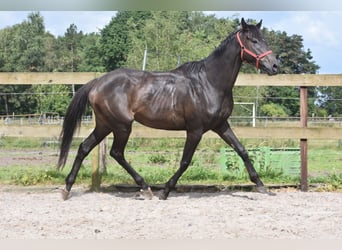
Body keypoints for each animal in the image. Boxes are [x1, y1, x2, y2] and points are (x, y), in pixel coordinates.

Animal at [57, 18, 280, 200]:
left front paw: (261, 185)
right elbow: (185, 161)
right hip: (122, 126)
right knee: (116, 153)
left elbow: (242, 150)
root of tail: (97, 82)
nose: (275, 66)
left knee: (84, 147)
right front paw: (165, 191)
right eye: (252, 39)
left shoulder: (221, 125)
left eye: (264, 39)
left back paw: (67, 188)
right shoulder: (195, 130)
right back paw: (146, 188)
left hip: (105, 124)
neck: (209, 82)